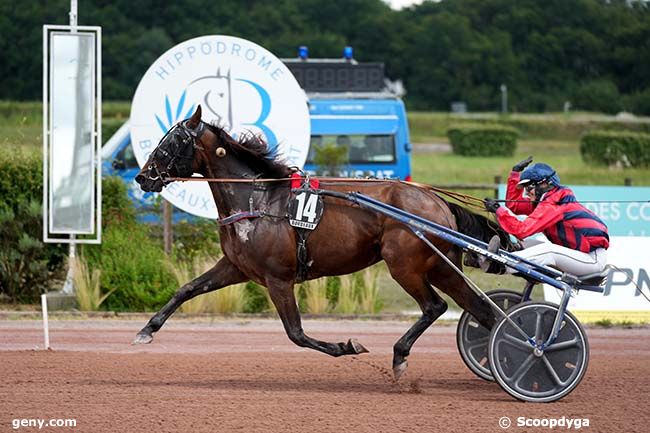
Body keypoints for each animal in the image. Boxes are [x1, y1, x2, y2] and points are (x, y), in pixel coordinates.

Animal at [133, 104, 506, 378]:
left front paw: (347, 346)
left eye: (172, 142)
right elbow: (187, 289)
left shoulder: (278, 278)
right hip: (441, 267)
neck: (258, 200)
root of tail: (437, 201)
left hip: (405, 265)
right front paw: (147, 330)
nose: (142, 176)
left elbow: (296, 334)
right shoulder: (236, 267)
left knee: (435, 307)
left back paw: (401, 356)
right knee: (482, 310)